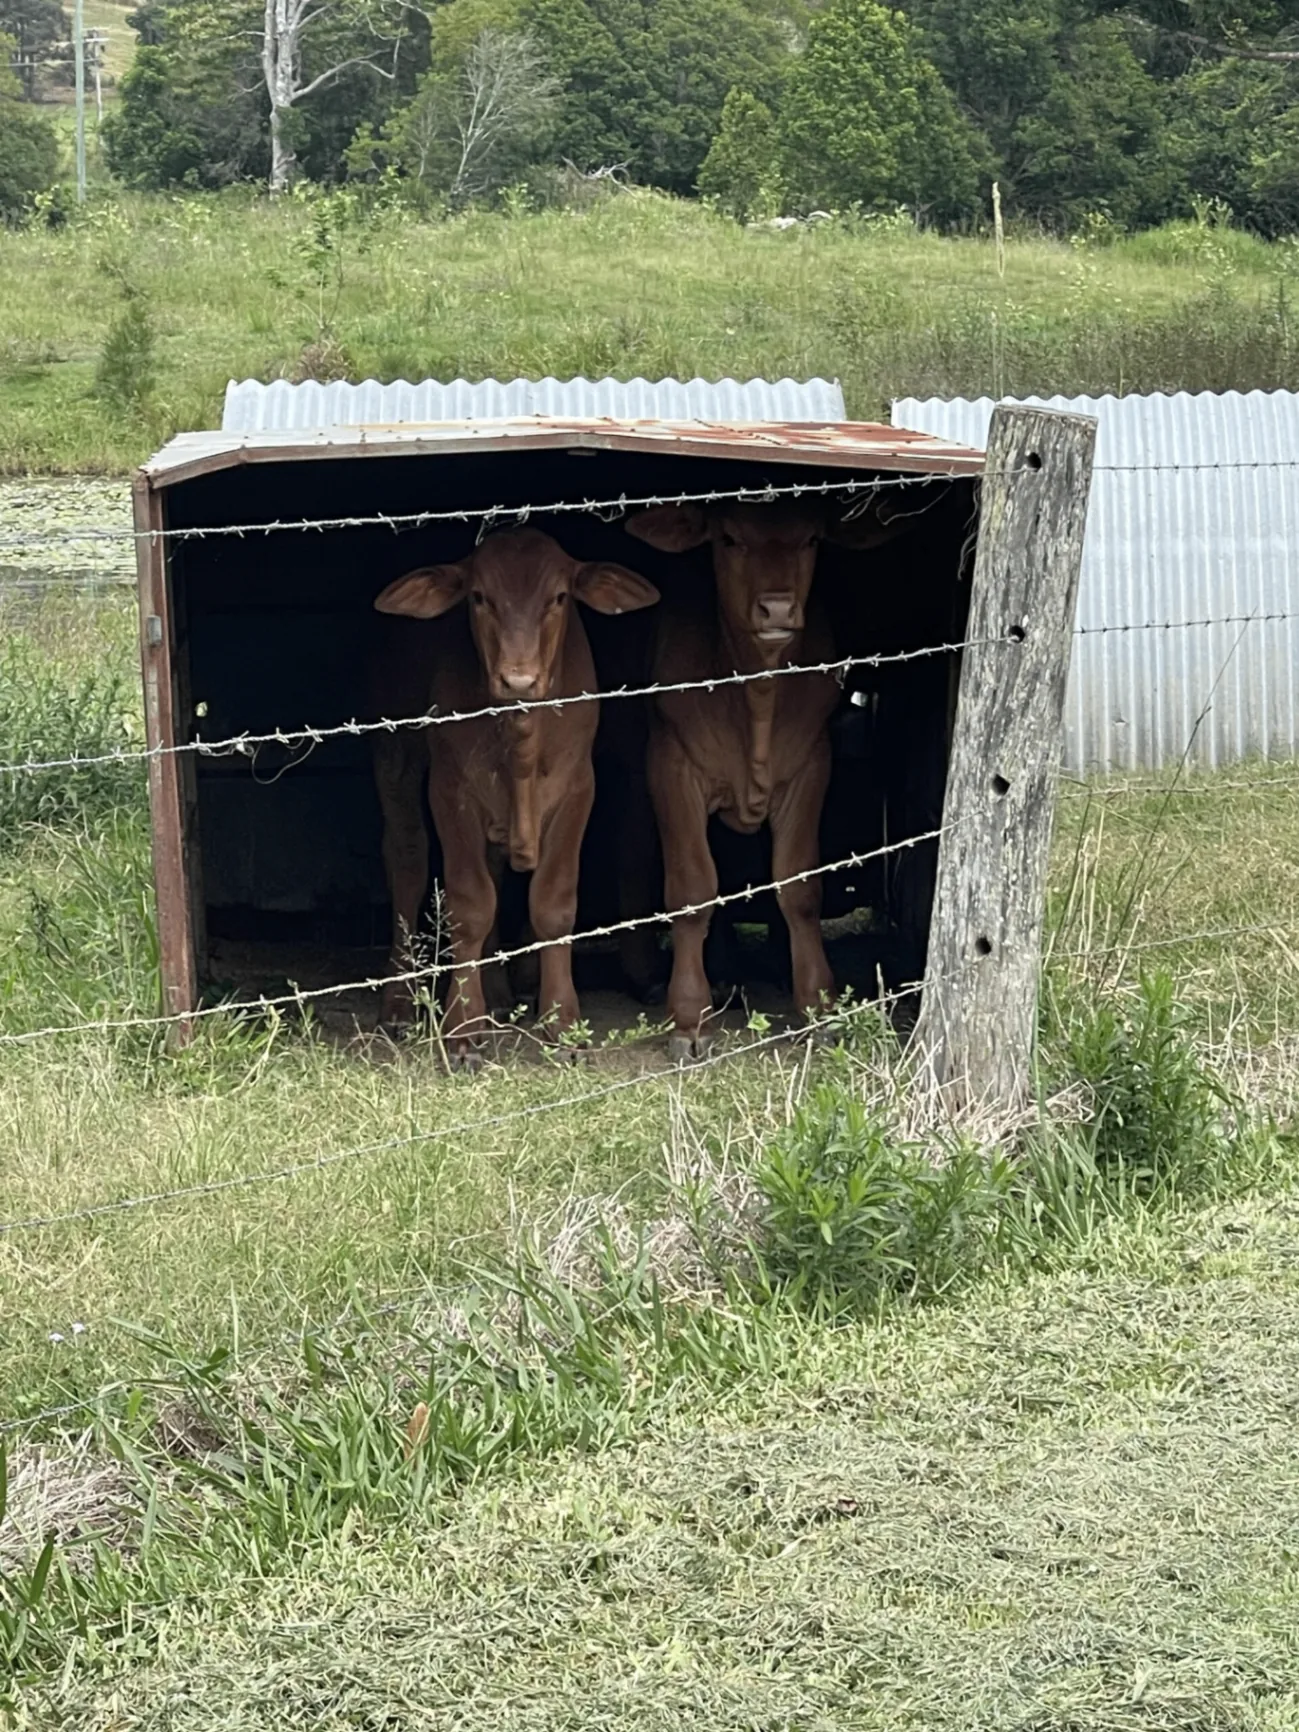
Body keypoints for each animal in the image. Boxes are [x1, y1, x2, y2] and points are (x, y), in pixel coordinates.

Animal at [370, 527, 659, 1066]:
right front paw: (463, 1028)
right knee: (407, 859)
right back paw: (399, 1003)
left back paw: (500, 994)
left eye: (560, 597)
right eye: (479, 597)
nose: (518, 678)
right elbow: (470, 904)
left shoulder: (577, 788)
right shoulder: (451, 790)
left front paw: (562, 1024)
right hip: (394, 749)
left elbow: (553, 905)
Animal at [623, 498, 895, 1060]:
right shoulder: (673, 769)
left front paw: (818, 1004)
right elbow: (692, 888)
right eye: (729, 539)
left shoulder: (810, 767)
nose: (777, 608)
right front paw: (690, 1016)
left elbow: (800, 887)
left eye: (812, 538)